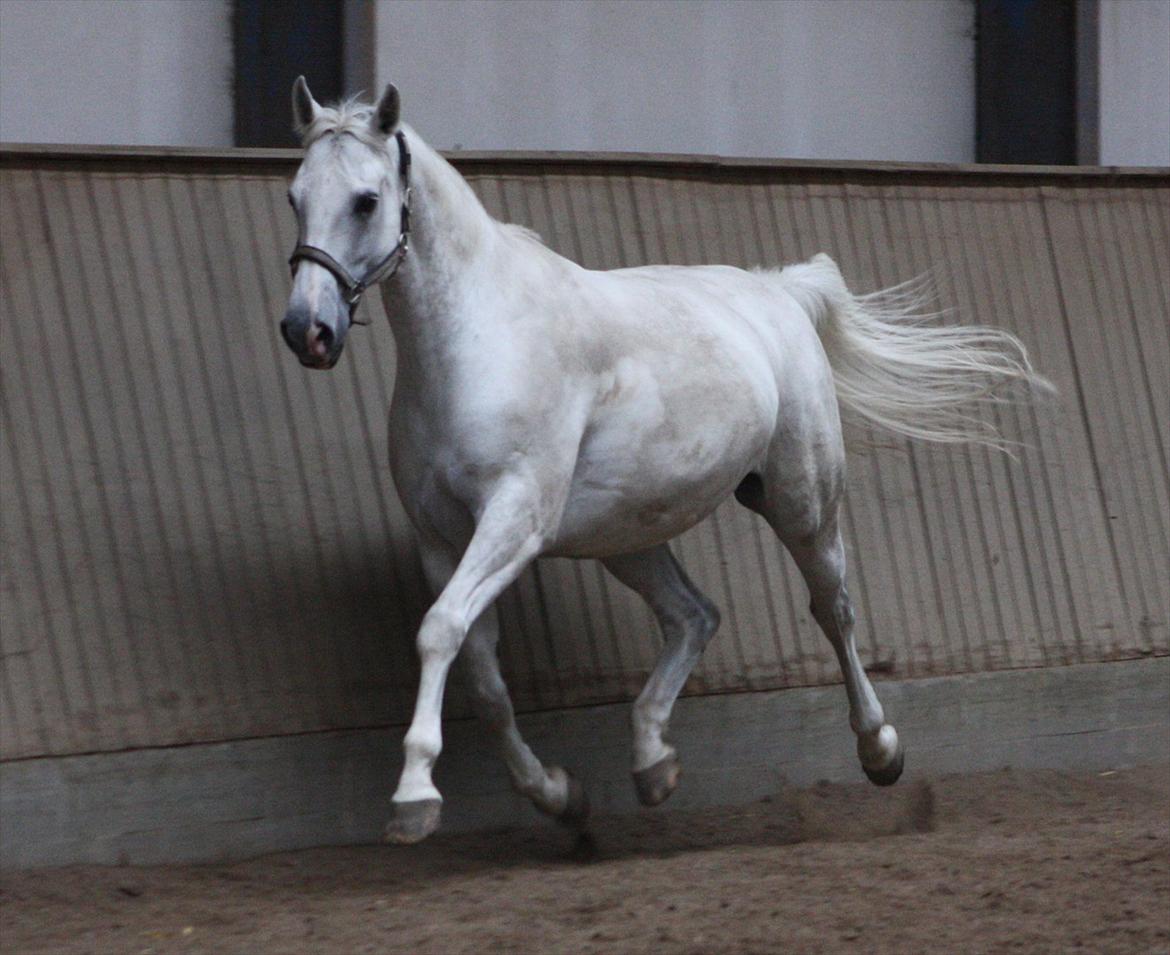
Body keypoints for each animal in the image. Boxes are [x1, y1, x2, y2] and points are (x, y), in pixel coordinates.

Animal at [280, 80, 1043, 842]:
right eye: (294, 196)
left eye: (366, 201)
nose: (306, 331)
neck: (479, 340)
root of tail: (777, 292)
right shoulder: (440, 539)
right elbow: (481, 676)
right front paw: (558, 794)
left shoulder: (513, 518)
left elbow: (439, 630)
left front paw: (414, 795)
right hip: (626, 535)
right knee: (693, 616)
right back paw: (652, 763)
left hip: (801, 502)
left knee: (833, 608)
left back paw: (880, 749)